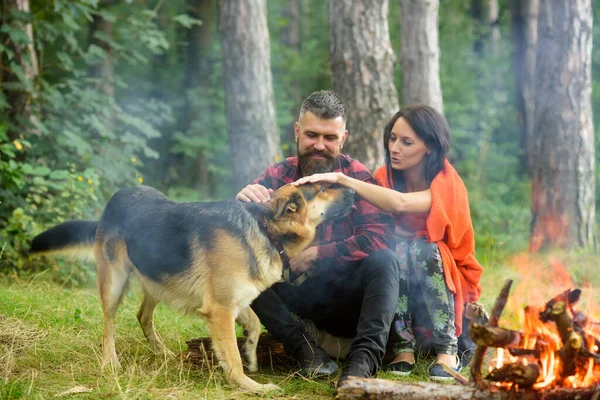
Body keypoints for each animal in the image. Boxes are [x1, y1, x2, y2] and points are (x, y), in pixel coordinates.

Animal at [30, 184, 354, 390]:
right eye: (322, 188)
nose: (353, 190)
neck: (263, 229)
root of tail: (116, 198)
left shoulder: (234, 302)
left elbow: (253, 324)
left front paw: (251, 353)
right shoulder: (220, 310)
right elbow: (231, 357)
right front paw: (249, 385)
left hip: (157, 280)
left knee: (142, 316)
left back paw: (163, 353)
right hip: (114, 283)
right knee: (108, 324)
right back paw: (110, 362)